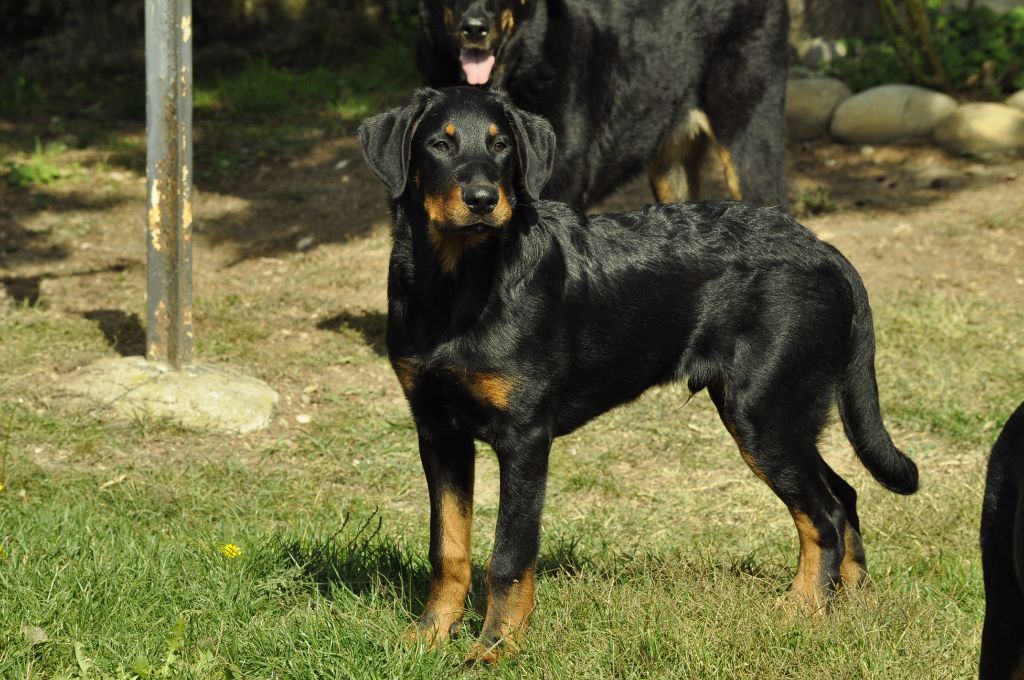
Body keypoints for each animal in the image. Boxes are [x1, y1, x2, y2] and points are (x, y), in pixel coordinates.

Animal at [356, 87, 917, 659]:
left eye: (502, 145)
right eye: (439, 145)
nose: (483, 198)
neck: (457, 286)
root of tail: (824, 250)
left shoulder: (525, 437)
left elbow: (509, 556)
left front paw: (494, 648)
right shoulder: (437, 431)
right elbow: (448, 547)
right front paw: (429, 635)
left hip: (765, 412)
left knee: (822, 514)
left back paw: (800, 612)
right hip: (783, 411)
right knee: (842, 496)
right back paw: (855, 601)